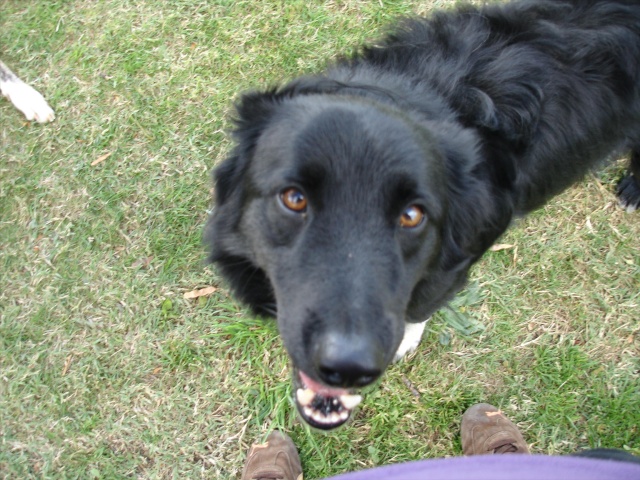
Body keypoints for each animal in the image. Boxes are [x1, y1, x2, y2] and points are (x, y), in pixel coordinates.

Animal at [204, 0, 640, 428]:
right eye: (294, 199)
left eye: (412, 215)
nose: (349, 368)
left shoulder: (460, 257)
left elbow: (423, 301)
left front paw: (407, 336)